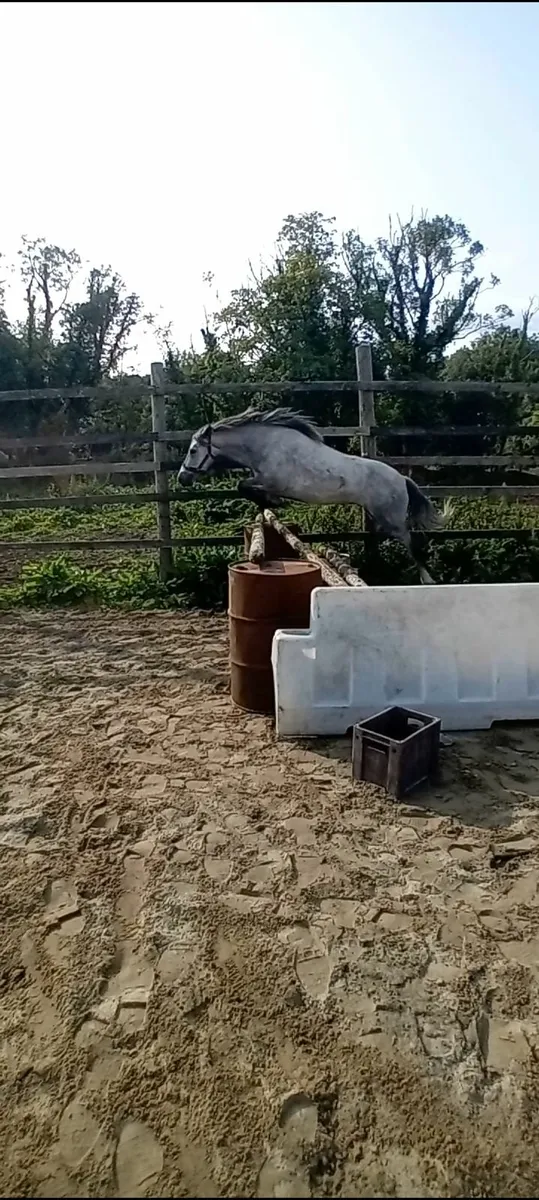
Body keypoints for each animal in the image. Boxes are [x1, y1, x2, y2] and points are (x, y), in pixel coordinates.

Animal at [177, 407, 446, 584]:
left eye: (193, 450)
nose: (182, 478)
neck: (264, 446)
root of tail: (401, 479)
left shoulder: (273, 480)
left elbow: (243, 486)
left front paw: (274, 502)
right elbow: (247, 488)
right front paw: (270, 503)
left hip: (393, 520)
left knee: (412, 543)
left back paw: (427, 579)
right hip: (380, 517)